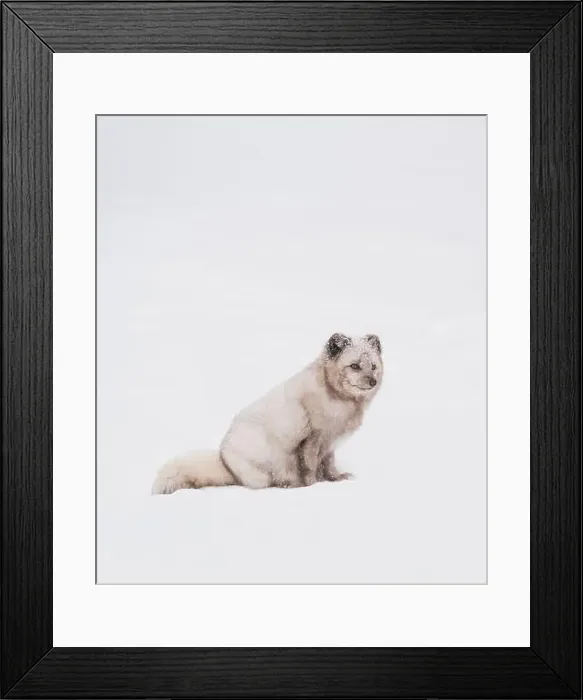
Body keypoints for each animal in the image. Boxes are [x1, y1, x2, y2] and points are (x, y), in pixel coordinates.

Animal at [152, 333, 383, 494]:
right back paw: (290, 485)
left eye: (373, 366)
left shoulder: (329, 444)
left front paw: (336, 478)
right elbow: (310, 467)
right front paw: (312, 486)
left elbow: (329, 465)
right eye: (354, 366)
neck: (336, 397)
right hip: (272, 464)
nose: (373, 381)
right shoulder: (312, 438)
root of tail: (225, 459)